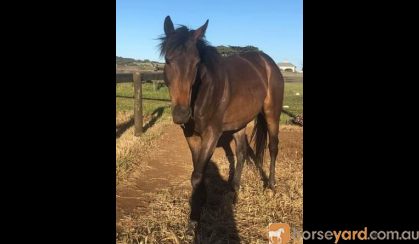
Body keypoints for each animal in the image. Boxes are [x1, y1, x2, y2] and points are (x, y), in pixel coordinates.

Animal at [159, 14, 284, 221]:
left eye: (196, 63)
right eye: (168, 60)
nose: (181, 114)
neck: (203, 92)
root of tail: (268, 62)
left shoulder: (212, 134)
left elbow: (197, 175)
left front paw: (195, 216)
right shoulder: (191, 136)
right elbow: (198, 171)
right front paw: (199, 204)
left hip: (272, 113)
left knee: (273, 147)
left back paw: (271, 187)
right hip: (240, 122)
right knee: (241, 153)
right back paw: (234, 192)